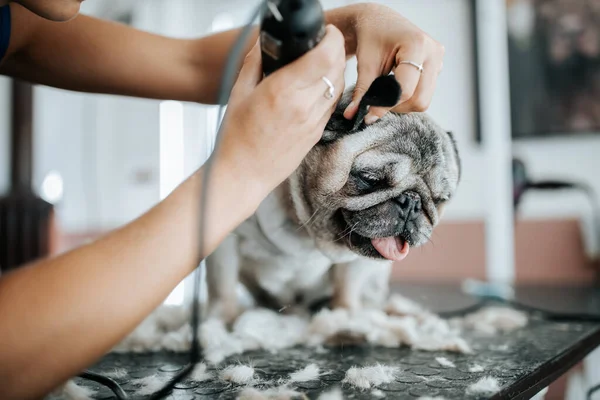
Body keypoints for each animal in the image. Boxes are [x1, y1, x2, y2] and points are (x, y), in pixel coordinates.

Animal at [204, 76, 462, 324]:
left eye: (440, 200)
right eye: (370, 178)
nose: (411, 202)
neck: (306, 228)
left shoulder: (358, 263)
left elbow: (347, 284)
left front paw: (345, 313)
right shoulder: (226, 239)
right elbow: (222, 284)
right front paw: (223, 321)